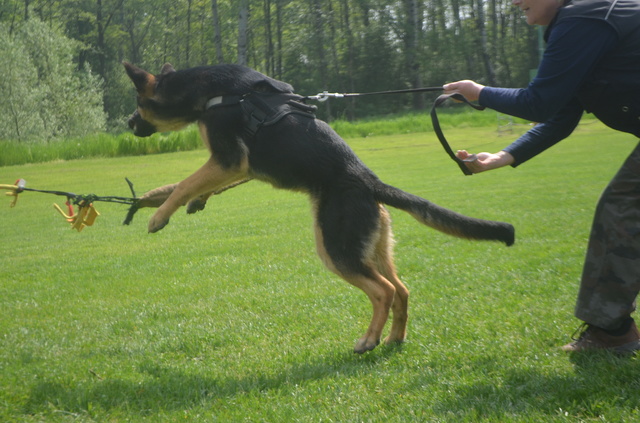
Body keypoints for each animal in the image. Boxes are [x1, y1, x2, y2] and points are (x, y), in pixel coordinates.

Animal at [124, 63, 516, 354]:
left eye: (138, 105)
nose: (127, 123)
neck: (212, 93)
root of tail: (369, 181)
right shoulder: (240, 168)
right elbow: (189, 185)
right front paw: (166, 199)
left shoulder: (229, 159)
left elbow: (186, 181)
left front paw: (159, 215)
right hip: (371, 248)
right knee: (401, 289)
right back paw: (393, 339)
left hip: (335, 247)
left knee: (383, 292)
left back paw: (369, 340)